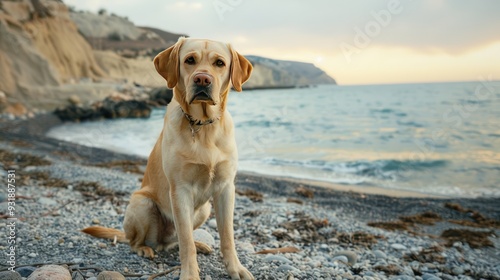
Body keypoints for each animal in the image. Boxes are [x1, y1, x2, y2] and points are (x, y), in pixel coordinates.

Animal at [84, 37, 254, 280]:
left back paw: (200, 245)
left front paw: (235, 269)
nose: (202, 79)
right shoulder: (180, 190)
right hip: (142, 204)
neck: (202, 126)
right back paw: (144, 249)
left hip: (204, 209)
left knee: (177, 241)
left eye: (219, 63)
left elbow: (227, 236)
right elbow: (186, 242)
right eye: (189, 60)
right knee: (138, 241)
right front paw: (190, 274)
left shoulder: (226, 188)